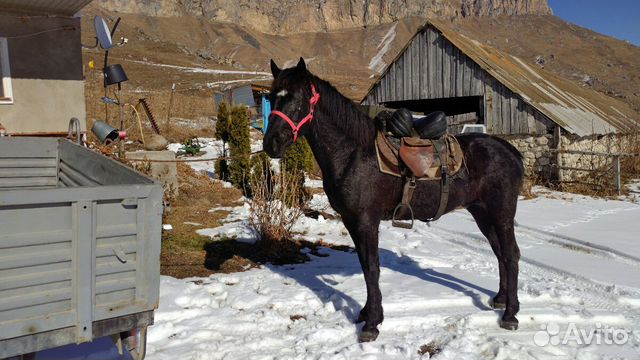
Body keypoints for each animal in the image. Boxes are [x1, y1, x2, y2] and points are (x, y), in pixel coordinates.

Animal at [262, 57, 524, 342]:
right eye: (271, 97)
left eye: (298, 98)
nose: (271, 143)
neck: (353, 154)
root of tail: (510, 151)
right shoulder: (351, 221)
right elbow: (365, 266)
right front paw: (367, 313)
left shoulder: (366, 221)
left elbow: (372, 268)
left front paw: (372, 324)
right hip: (482, 213)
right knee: (500, 253)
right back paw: (501, 299)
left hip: (501, 213)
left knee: (510, 254)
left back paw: (510, 314)